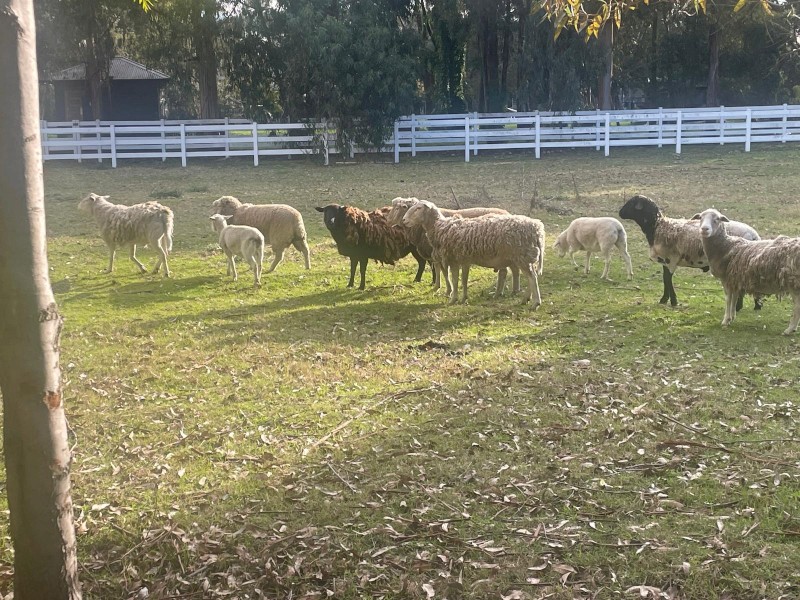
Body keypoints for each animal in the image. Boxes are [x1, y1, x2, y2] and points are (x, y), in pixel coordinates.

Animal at [402, 200, 545, 307]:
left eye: (418, 208)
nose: (404, 220)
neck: (440, 227)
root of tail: (537, 229)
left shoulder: (453, 259)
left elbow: (455, 280)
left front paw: (453, 299)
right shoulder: (465, 259)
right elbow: (464, 279)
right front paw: (464, 298)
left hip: (522, 255)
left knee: (532, 277)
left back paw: (535, 303)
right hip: (523, 257)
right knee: (529, 276)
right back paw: (525, 299)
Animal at [619, 194, 762, 310]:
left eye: (631, 203)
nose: (620, 213)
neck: (657, 226)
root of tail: (754, 235)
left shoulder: (671, 259)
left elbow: (668, 279)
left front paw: (673, 301)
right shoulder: (665, 261)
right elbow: (665, 279)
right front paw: (664, 299)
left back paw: (741, 306)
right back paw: (755, 305)